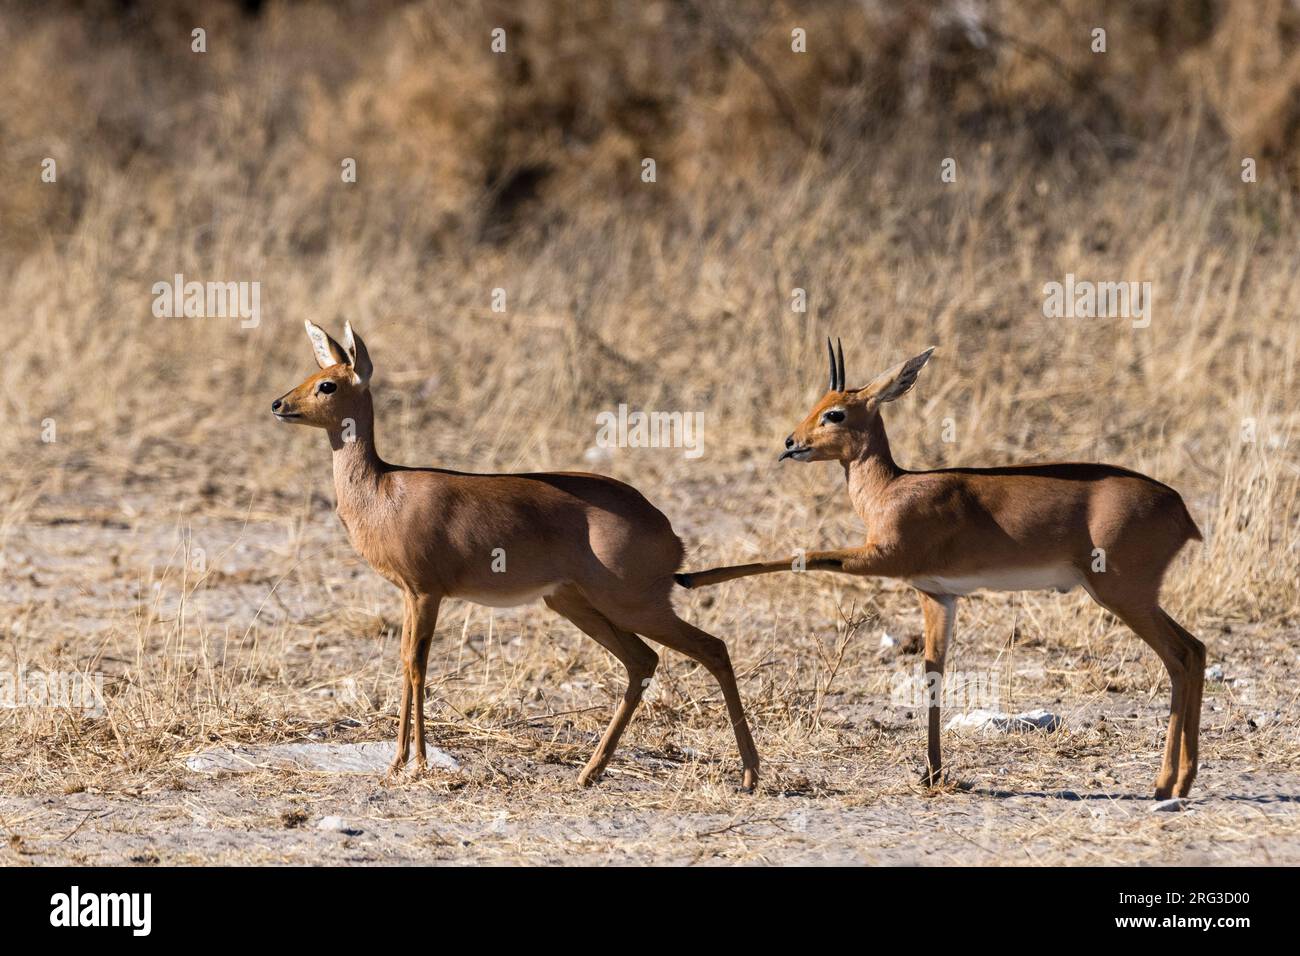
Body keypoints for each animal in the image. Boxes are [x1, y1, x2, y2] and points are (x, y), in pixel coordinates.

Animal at [274, 323, 759, 790]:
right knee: (643, 660)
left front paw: (418, 764)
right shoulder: (408, 594)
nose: (279, 404)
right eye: (314, 374)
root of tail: (667, 531)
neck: (383, 490)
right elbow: (405, 662)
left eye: (328, 385)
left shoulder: (427, 593)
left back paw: (750, 774)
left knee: (712, 648)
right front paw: (397, 763)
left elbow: (418, 666)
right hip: (573, 603)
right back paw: (590, 771)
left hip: (634, 605)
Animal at [681, 343, 1206, 801]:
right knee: (1196, 650)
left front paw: (691, 577)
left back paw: (1164, 784)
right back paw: (1182, 782)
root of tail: (1180, 509)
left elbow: (803, 555)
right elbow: (934, 670)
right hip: (1135, 597)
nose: (791, 443)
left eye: (835, 413)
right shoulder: (936, 594)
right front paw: (932, 772)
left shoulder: (880, 558)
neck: (890, 490)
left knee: (1179, 657)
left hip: (1121, 593)